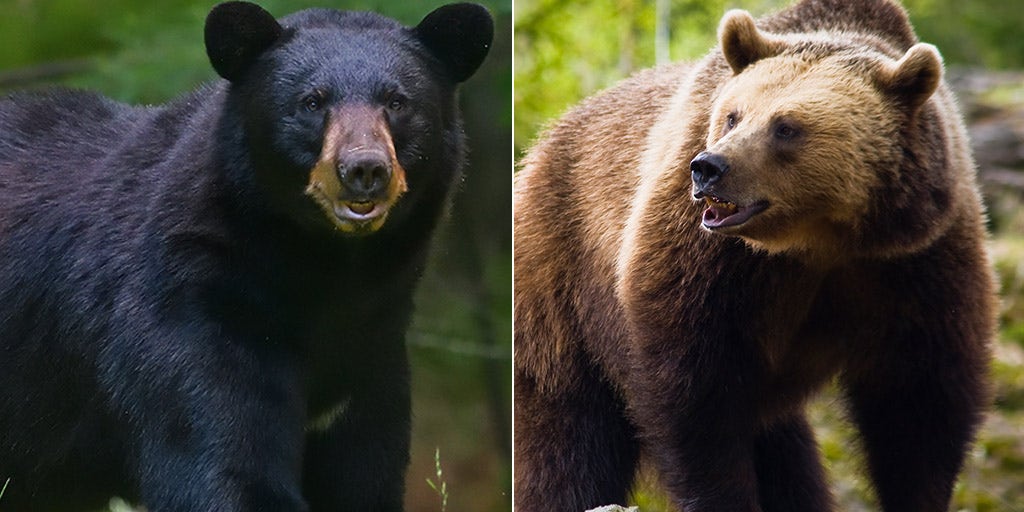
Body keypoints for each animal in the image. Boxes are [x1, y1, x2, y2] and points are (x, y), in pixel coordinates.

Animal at [0, 2, 491, 511]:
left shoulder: (373, 346)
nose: (364, 169)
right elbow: (226, 463)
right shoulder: (197, 306)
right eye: (311, 102)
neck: (327, 271)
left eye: (397, 102)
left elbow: (365, 474)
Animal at [513, 0, 995, 511]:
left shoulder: (914, 260)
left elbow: (919, 399)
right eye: (732, 115)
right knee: (567, 431)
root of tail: (542, 145)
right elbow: (695, 397)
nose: (708, 167)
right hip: (561, 277)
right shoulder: (709, 261)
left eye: (786, 126)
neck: (820, 239)